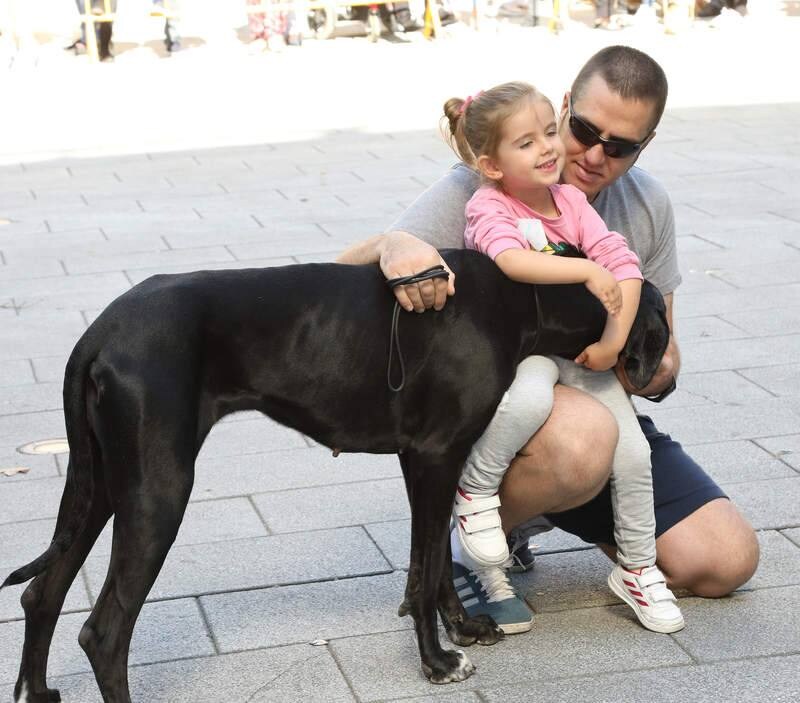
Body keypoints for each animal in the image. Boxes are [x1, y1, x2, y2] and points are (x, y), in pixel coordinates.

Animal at [4, 248, 668, 700]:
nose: (665, 383)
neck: (520, 296)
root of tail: (100, 331)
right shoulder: (434, 455)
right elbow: (423, 573)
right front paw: (436, 662)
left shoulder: (425, 460)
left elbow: (430, 562)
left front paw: (460, 629)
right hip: (158, 489)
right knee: (105, 631)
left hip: (101, 484)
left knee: (42, 592)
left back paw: (38, 689)